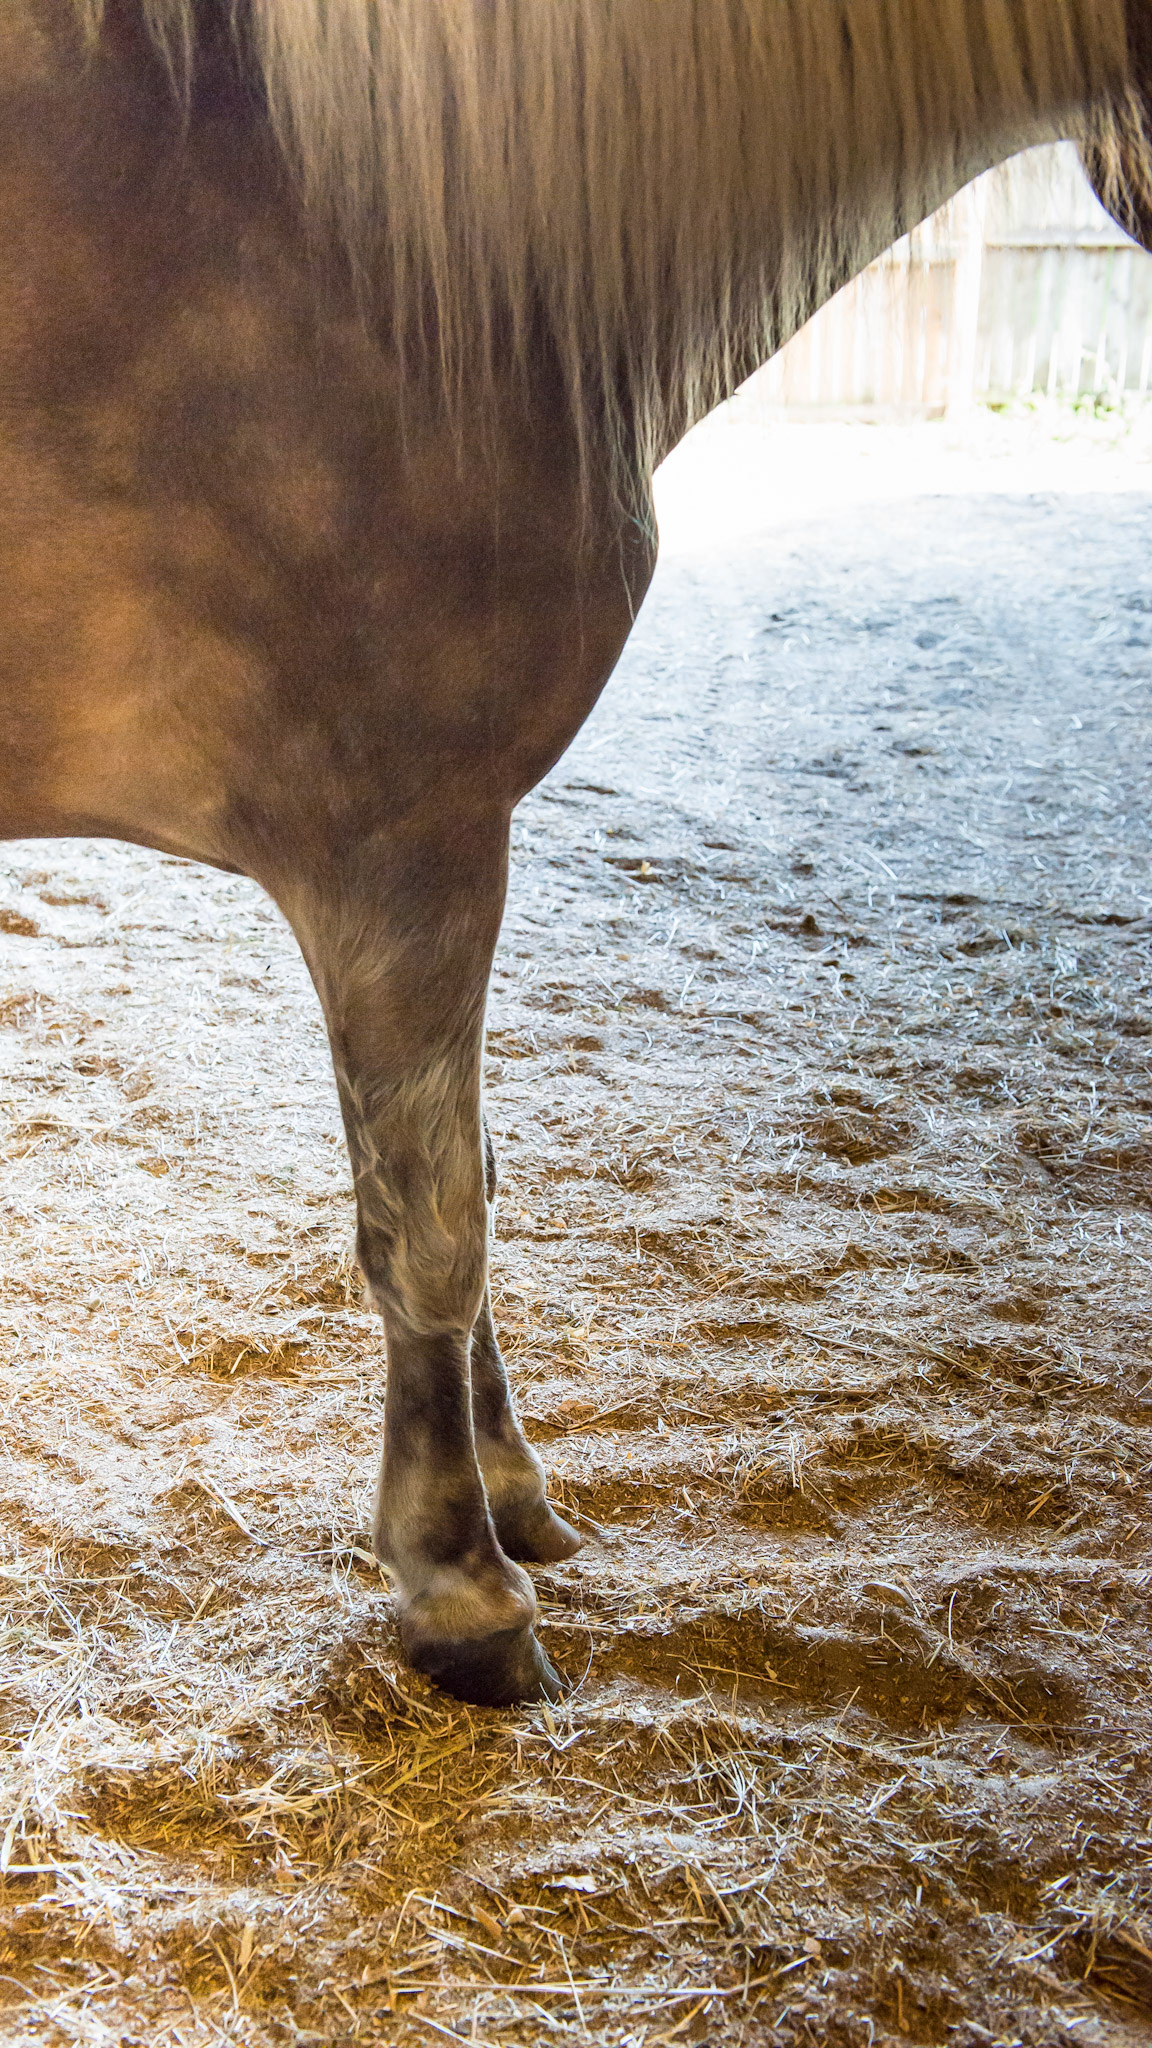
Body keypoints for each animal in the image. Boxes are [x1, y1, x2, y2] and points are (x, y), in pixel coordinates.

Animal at [3, 0, 1150, 1706]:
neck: (375, 247)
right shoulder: (403, 851)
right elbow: (431, 1229)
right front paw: (459, 1585)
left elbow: (469, 1179)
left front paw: (515, 1498)